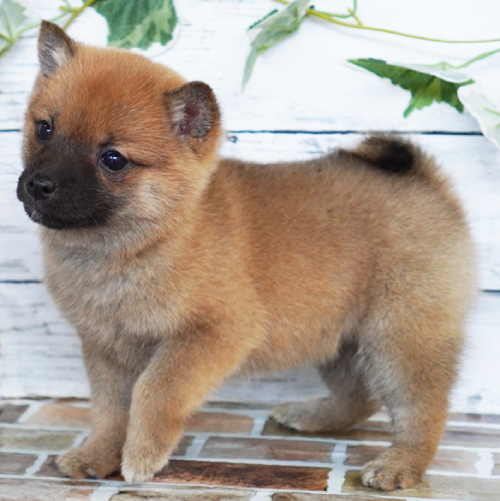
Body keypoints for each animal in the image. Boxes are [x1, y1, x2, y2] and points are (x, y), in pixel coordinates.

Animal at [16, 21, 476, 490]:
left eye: (113, 159)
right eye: (45, 129)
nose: (38, 184)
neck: (141, 243)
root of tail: (427, 182)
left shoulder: (212, 335)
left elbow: (155, 391)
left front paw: (142, 454)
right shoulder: (106, 350)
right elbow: (109, 411)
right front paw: (97, 453)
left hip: (401, 339)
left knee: (423, 410)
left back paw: (399, 464)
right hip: (342, 339)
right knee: (359, 396)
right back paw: (313, 415)